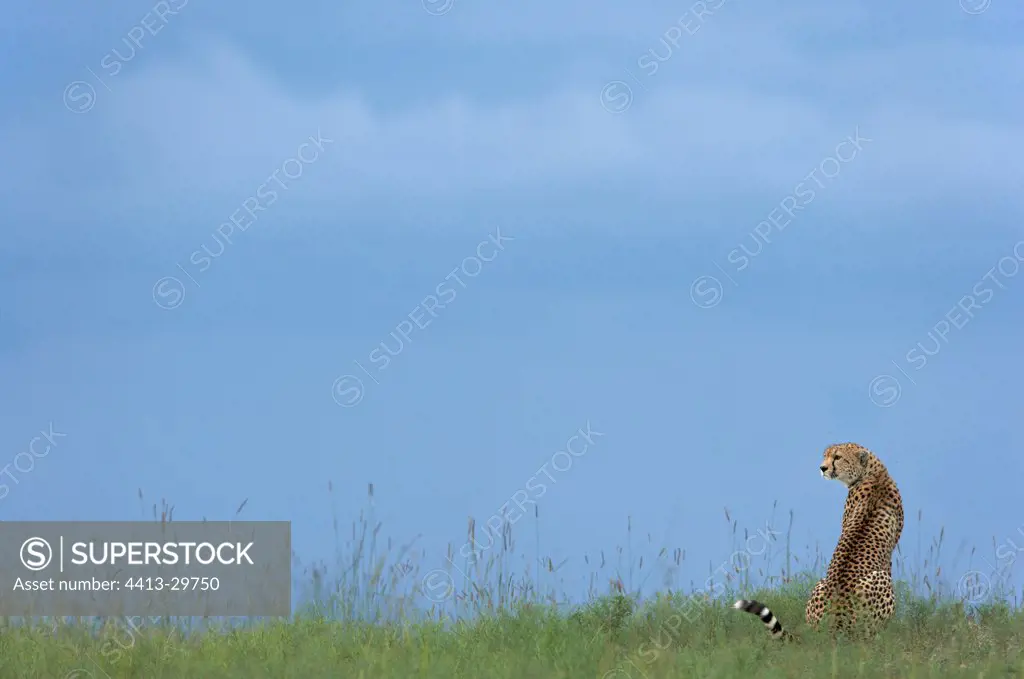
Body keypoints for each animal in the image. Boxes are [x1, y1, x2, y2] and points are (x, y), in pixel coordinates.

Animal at [737, 444, 905, 639]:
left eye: (838, 457)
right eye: (825, 456)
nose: (822, 468)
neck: (873, 473)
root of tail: (832, 625)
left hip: (821, 583)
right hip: (878, 582)